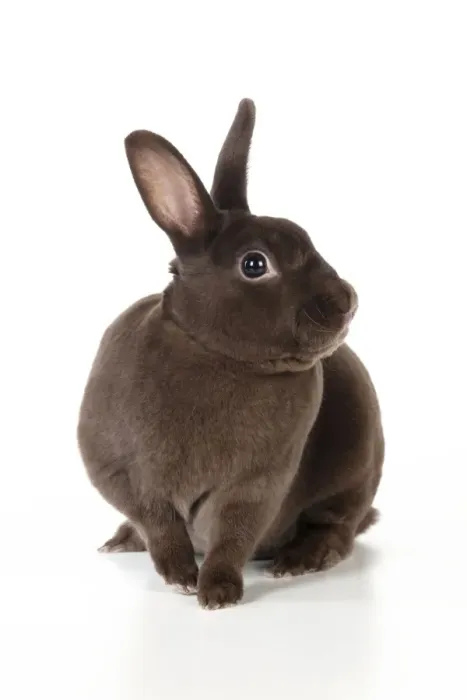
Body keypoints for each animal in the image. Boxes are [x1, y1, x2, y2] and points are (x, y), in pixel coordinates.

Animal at [78, 98, 384, 609]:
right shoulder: (124, 474)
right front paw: (182, 576)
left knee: (337, 528)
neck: (215, 354)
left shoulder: (256, 483)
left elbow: (232, 534)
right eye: (255, 264)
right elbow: (159, 524)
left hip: (356, 468)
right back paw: (122, 540)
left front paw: (217, 592)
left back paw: (297, 560)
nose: (348, 301)